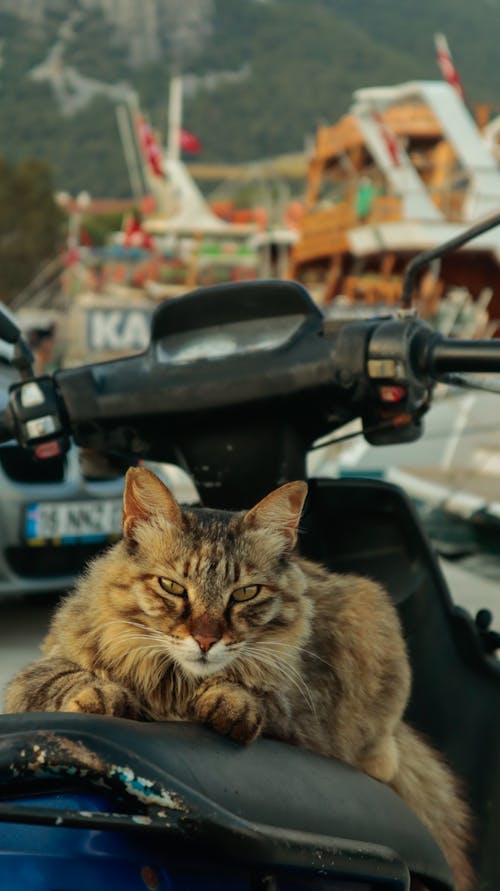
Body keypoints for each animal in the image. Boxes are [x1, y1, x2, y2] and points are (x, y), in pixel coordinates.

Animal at [4, 470, 472, 888]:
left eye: (245, 593)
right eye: (172, 587)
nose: (206, 639)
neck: (174, 686)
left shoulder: (293, 711)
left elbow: (251, 694)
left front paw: (227, 704)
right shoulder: (35, 674)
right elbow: (66, 679)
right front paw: (101, 695)